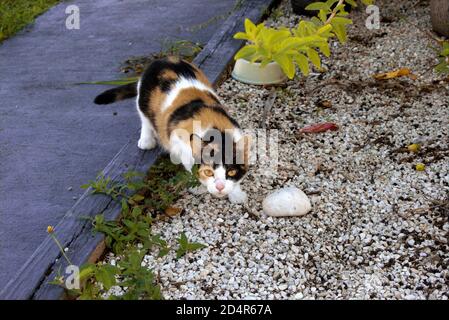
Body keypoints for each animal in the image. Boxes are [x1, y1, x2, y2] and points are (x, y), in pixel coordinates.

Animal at [94, 57, 248, 202]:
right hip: (144, 101)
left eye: (231, 172)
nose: (220, 187)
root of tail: (164, 59)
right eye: (209, 172)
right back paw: (146, 141)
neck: (217, 131)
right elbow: (190, 165)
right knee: (145, 119)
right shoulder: (180, 142)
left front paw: (236, 194)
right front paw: (198, 186)